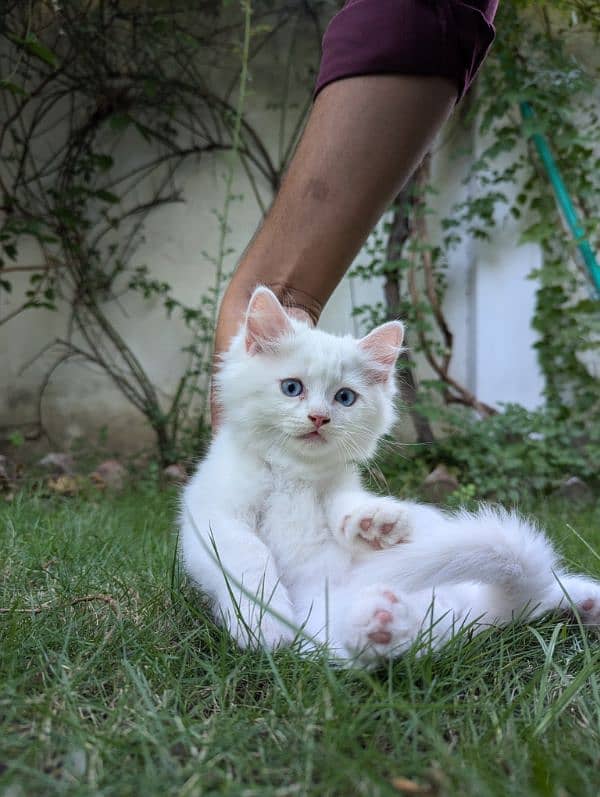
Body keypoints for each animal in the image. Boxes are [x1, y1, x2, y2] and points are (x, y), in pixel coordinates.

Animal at [180, 286, 600, 664]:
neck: (294, 474)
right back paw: (380, 621)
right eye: (292, 387)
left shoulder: (338, 487)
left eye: (345, 397)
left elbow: (346, 504)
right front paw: (264, 622)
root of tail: (477, 617)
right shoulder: (215, 517)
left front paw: (375, 522)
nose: (319, 418)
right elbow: (249, 559)